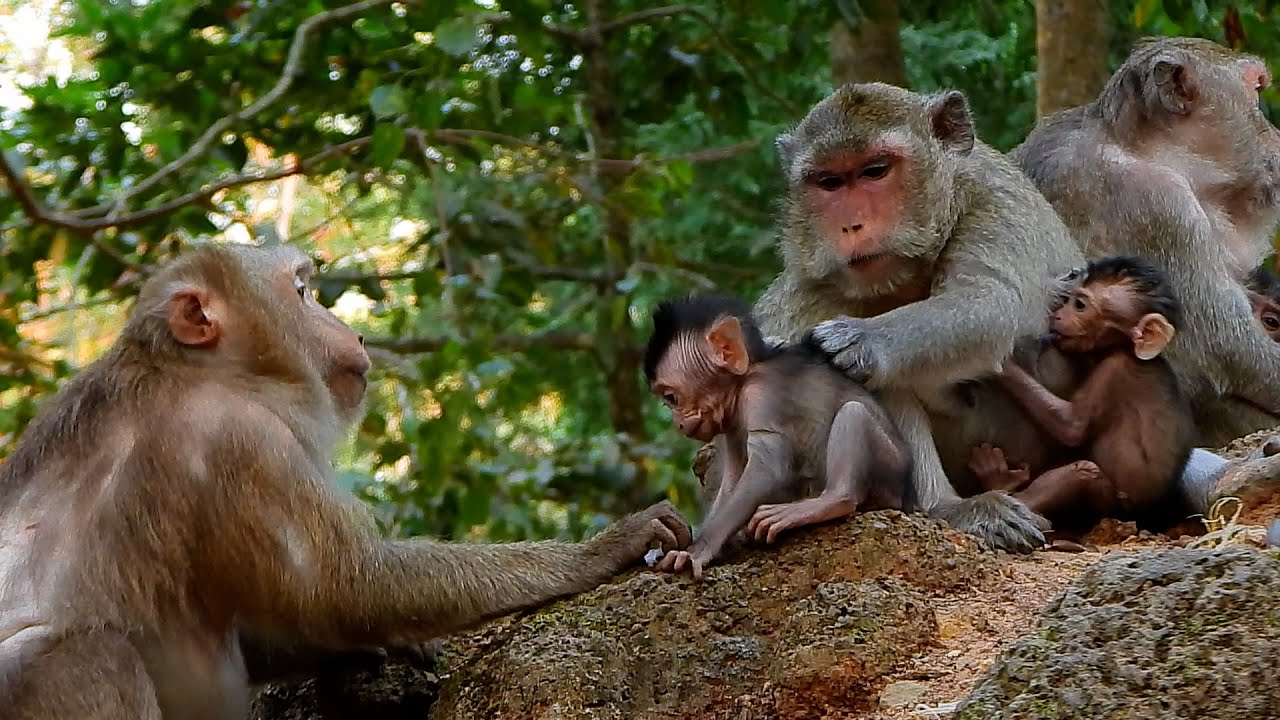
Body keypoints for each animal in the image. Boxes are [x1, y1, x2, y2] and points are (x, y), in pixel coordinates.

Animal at [0, 243, 691, 720]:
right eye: (303, 292)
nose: (351, 328)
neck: (192, 369)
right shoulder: (239, 438)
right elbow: (345, 589)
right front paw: (599, 550)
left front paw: (393, 648)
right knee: (86, 658)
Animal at [643, 295, 910, 579]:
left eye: (671, 398)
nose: (678, 424)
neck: (747, 376)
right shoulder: (732, 422)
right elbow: (733, 477)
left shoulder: (761, 396)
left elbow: (768, 468)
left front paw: (696, 551)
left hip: (891, 469)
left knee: (853, 412)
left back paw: (829, 501)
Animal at [718, 82, 1087, 554]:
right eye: (829, 182)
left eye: (875, 171)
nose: (851, 227)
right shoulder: (814, 282)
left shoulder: (995, 201)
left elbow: (989, 304)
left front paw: (859, 340)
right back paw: (945, 507)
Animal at [967, 256, 1195, 531]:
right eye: (1070, 301)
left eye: (1079, 305)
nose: (1058, 315)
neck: (1125, 348)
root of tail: (1151, 518)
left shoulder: (1115, 370)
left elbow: (1072, 427)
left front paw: (1000, 365)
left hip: (1108, 510)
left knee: (1084, 472)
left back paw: (1001, 486)